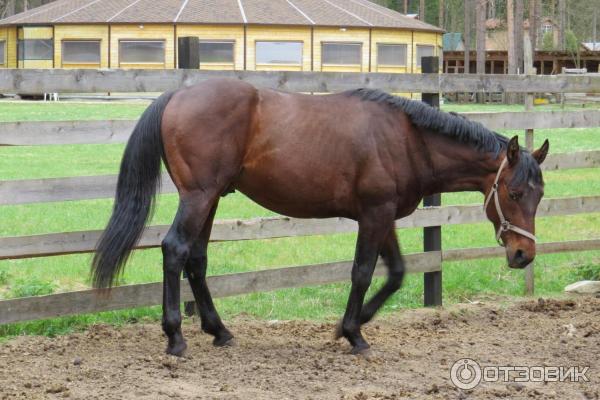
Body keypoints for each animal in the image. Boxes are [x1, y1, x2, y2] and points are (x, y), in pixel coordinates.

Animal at [92, 79, 548, 356]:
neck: (407, 138)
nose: (523, 254)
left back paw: (218, 331)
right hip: (198, 197)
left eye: (540, 196)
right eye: (513, 193)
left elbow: (396, 273)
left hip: (210, 200)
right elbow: (362, 272)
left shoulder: (383, 217)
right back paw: (175, 337)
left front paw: (354, 323)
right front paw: (353, 332)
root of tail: (177, 95)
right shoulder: (374, 215)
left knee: (196, 259)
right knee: (174, 250)